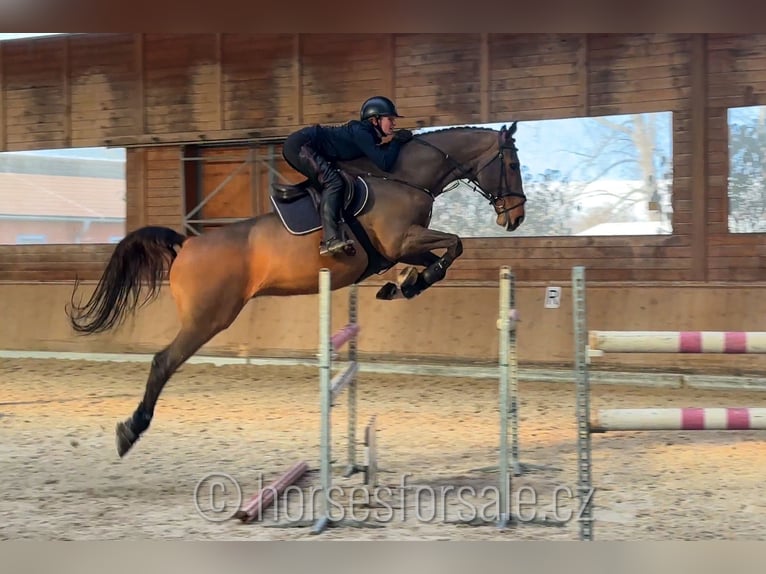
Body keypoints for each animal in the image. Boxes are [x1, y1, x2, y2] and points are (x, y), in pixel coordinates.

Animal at [66, 122, 528, 460]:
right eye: (511, 164)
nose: (516, 217)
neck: (403, 177)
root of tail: (188, 244)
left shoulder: (401, 247)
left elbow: (444, 253)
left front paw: (405, 285)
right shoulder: (401, 240)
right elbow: (454, 243)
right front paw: (412, 282)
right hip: (208, 318)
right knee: (163, 361)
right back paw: (131, 430)